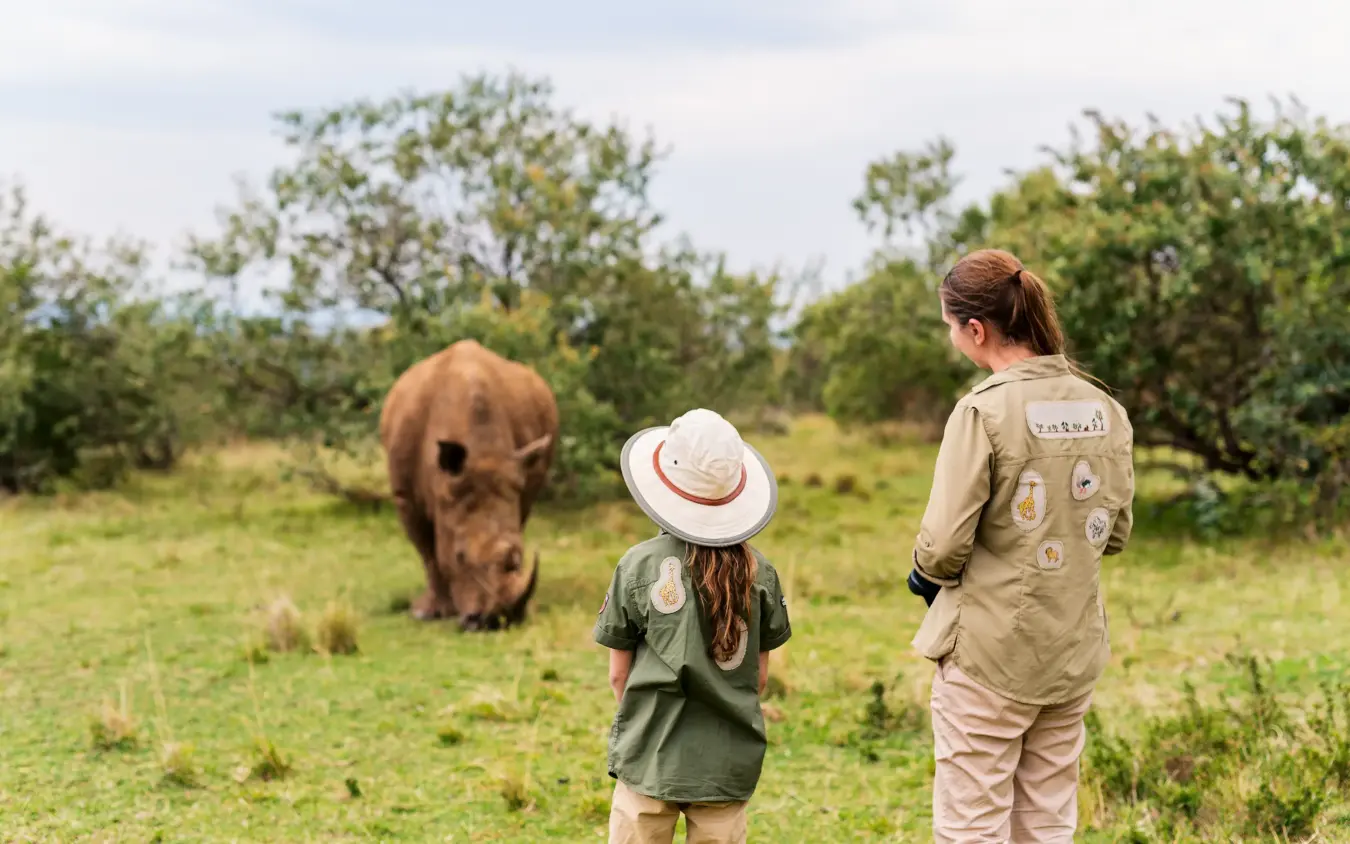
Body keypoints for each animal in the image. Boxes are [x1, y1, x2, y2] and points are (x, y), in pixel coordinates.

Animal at [379, 340, 558, 631]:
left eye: (518, 555)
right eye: (459, 555)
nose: (494, 621)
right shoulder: (405, 495)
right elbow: (429, 553)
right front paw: (429, 613)